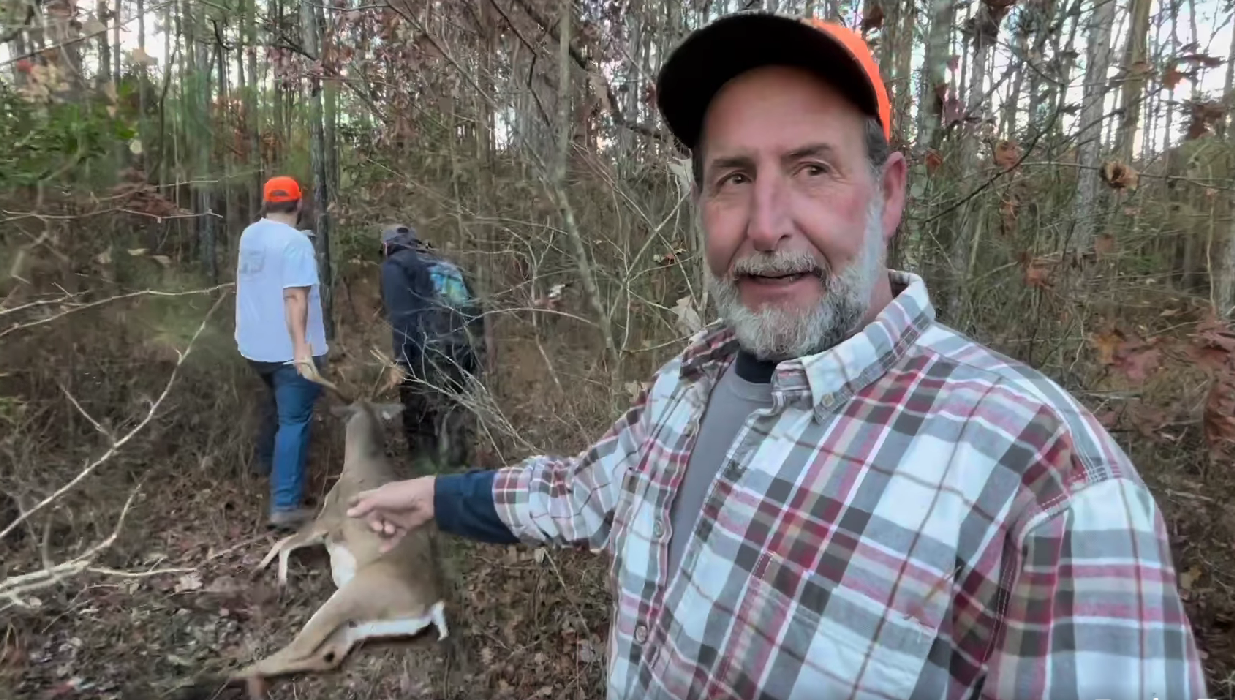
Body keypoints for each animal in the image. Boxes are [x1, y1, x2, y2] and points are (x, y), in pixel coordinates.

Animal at [171, 360, 447, 700]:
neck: (361, 461)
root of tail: (432, 606)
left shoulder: (327, 521)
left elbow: (286, 542)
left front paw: (273, 575)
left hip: (354, 595)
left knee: (299, 647)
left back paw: (195, 679)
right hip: (360, 624)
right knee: (325, 656)